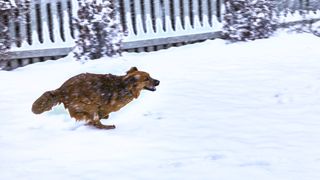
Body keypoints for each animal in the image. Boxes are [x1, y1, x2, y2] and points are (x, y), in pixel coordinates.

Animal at [31, 66, 159, 129]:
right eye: (146, 79)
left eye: (150, 76)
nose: (158, 81)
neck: (126, 86)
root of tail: (62, 90)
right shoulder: (102, 107)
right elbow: (99, 116)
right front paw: (93, 121)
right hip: (89, 105)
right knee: (97, 121)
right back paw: (106, 126)